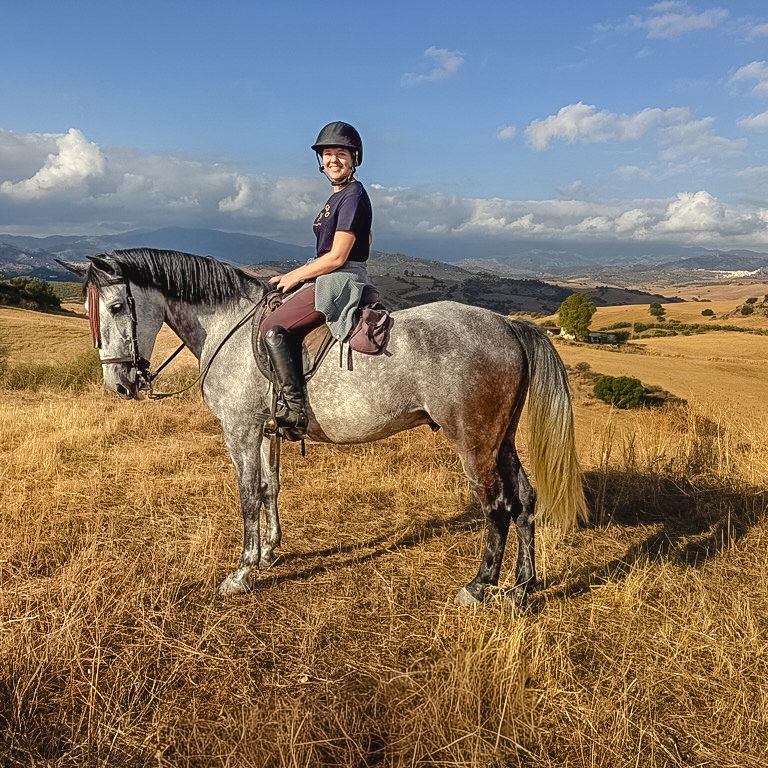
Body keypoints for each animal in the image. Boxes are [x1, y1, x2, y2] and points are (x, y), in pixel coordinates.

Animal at [60, 248, 588, 608]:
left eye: (116, 308)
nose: (120, 382)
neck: (227, 326)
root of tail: (508, 325)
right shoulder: (267, 430)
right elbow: (270, 489)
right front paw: (269, 552)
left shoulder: (241, 430)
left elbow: (247, 496)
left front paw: (242, 572)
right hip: (501, 436)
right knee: (525, 500)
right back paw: (522, 589)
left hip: (474, 439)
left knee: (496, 506)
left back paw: (479, 587)